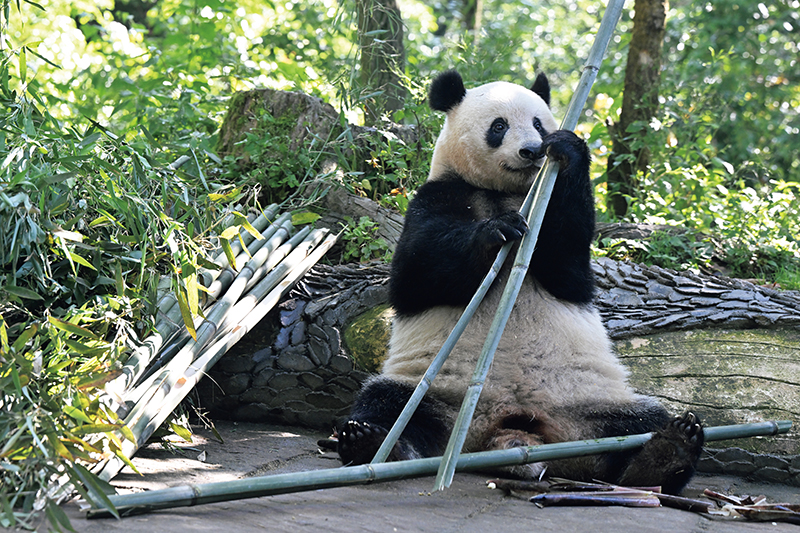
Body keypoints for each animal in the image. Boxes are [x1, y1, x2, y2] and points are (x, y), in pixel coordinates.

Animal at [334, 70, 704, 494]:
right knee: (389, 404)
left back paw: (665, 454)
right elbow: (417, 274)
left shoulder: (553, 209)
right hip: (434, 389)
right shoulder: (438, 195)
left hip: (591, 403)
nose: (532, 151)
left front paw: (570, 150)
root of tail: (508, 432)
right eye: (499, 126)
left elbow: (569, 267)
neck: (507, 193)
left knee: (642, 421)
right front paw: (495, 232)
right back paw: (370, 442)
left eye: (539, 125)